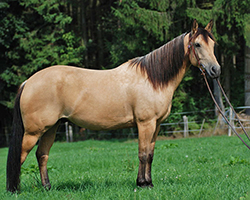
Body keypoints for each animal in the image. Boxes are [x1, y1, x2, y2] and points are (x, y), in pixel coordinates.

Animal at [6, 19, 221, 192]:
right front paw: (142, 184)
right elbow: (143, 154)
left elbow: (150, 154)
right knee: (20, 157)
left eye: (213, 44)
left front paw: (149, 183)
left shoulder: (157, 125)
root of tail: (28, 82)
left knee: (42, 155)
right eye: (197, 44)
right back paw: (14, 190)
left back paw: (47, 188)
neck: (152, 80)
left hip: (52, 128)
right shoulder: (145, 124)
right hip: (33, 132)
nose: (215, 70)